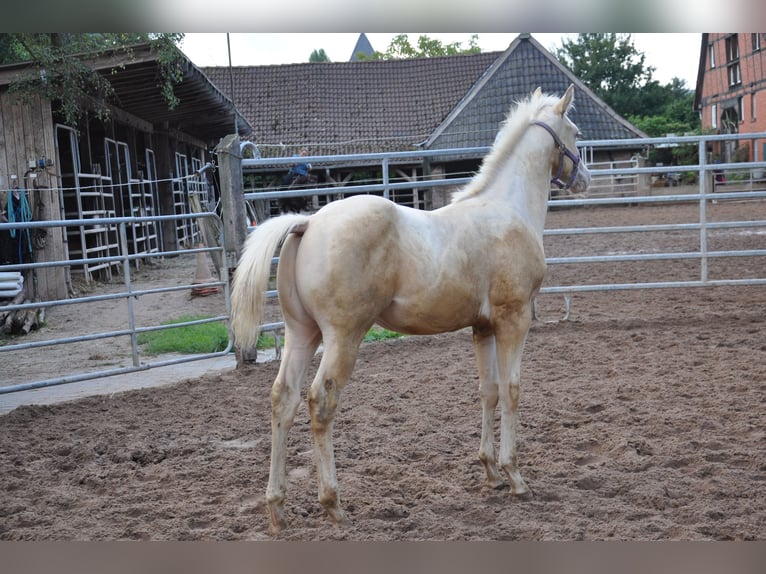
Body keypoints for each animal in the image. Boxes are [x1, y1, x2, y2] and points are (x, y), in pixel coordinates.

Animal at [230, 85, 590, 535]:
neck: (507, 210)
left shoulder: (483, 328)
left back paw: (277, 509)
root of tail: (308, 223)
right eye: (576, 132)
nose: (586, 180)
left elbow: (487, 390)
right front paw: (515, 477)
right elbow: (512, 390)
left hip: (303, 333)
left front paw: (490, 473)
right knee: (320, 401)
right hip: (343, 337)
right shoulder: (514, 319)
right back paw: (334, 505)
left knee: (284, 398)